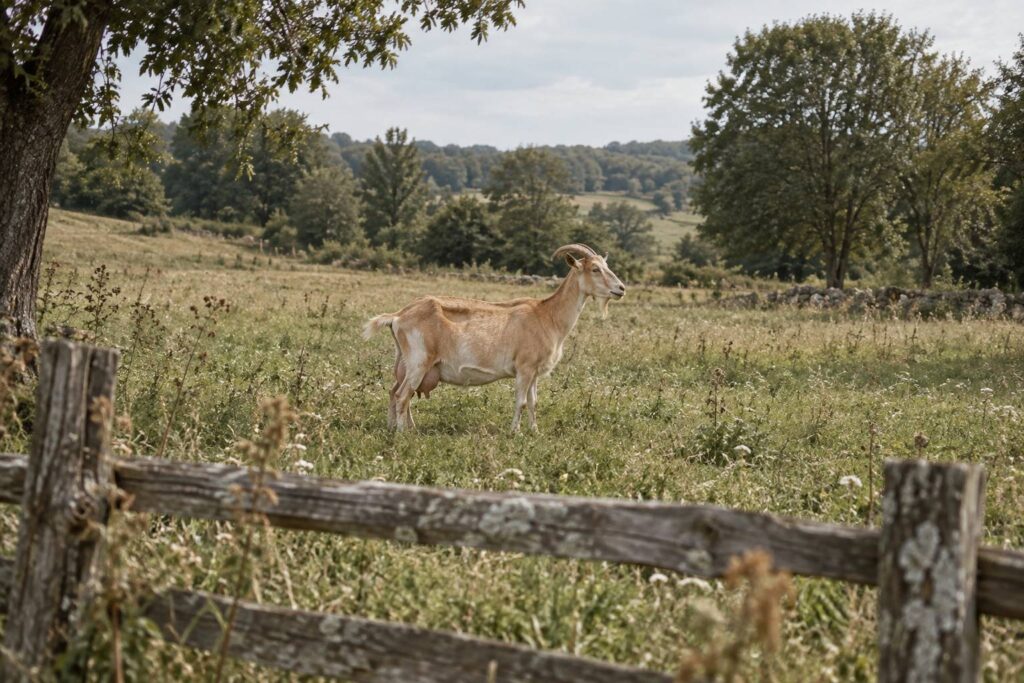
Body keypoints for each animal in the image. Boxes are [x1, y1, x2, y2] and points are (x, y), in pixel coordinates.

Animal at [362, 243, 626, 432]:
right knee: (402, 395)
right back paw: (402, 434)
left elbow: (533, 402)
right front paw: (514, 432)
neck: (547, 315)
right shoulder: (524, 367)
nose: (621, 289)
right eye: (595, 269)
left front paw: (535, 431)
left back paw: (397, 428)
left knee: (395, 392)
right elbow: (521, 401)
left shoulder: (534, 371)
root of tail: (398, 316)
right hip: (419, 361)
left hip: (405, 362)